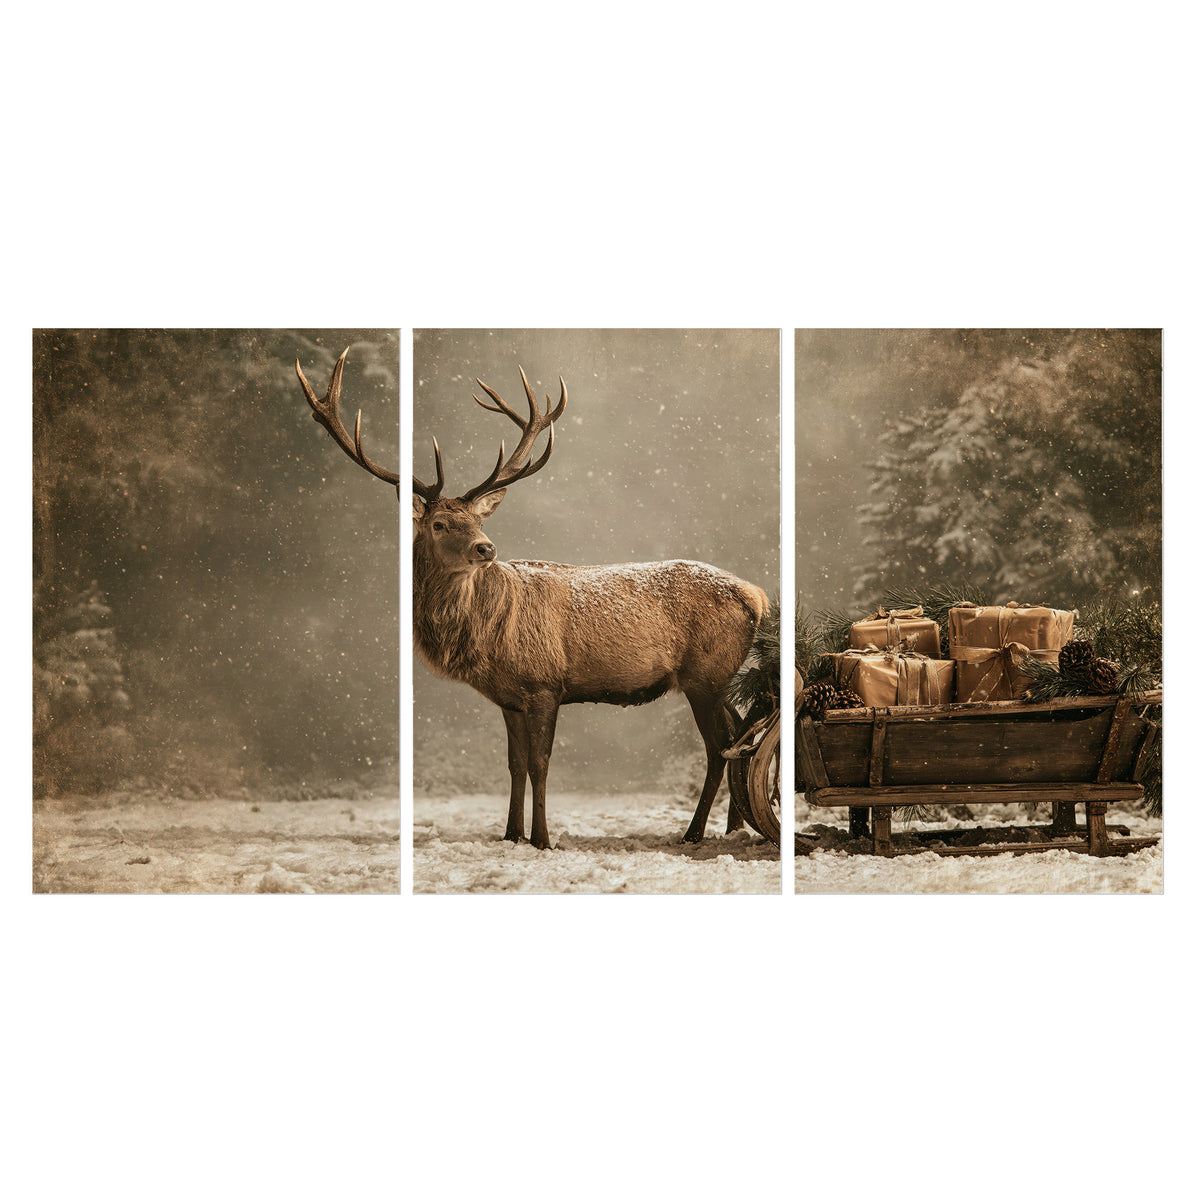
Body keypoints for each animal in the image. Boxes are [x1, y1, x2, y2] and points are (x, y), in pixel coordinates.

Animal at [296, 352, 769, 851]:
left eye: (476, 520)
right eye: (439, 524)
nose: (486, 548)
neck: (484, 640)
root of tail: (756, 595)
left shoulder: (545, 684)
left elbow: (541, 764)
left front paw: (542, 838)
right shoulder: (509, 697)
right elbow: (515, 765)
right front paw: (510, 834)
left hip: (705, 673)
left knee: (719, 747)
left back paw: (694, 832)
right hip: (716, 677)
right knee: (739, 733)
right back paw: (733, 827)